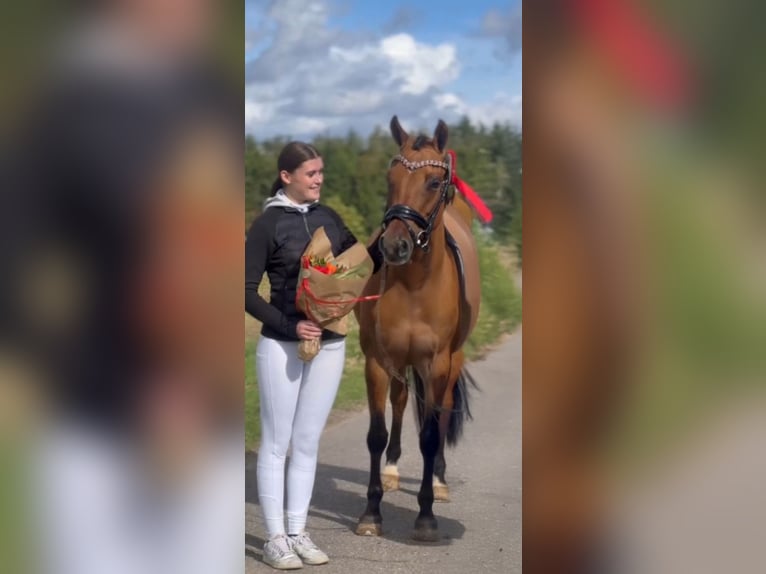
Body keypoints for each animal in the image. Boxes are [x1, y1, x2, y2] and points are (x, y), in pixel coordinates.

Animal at [354, 115, 482, 541]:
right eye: (390, 177)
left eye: (434, 182)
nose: (394, 247)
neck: (413, 287)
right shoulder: (377, 361)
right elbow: (376, 434)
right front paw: (371, 512)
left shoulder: (437, 363)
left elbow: (429, 434)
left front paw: (426, 515)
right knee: (400, 401)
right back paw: (393, 470)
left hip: (450, 363)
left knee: (439, 415)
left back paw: (438, 482)